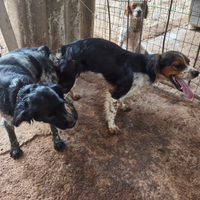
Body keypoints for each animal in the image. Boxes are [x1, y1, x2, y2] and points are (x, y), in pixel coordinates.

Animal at [57, 37, 199, 134]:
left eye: (188, 62)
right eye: (177, 65)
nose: (197, 72)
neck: (145, 68)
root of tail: (66, 46)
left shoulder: (119, 90)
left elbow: (121, 101)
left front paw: (123, 106)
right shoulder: (115, 92)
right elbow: (112, 112)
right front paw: (112, 127)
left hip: (72, 76)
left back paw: (74, 96)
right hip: (68, 79)